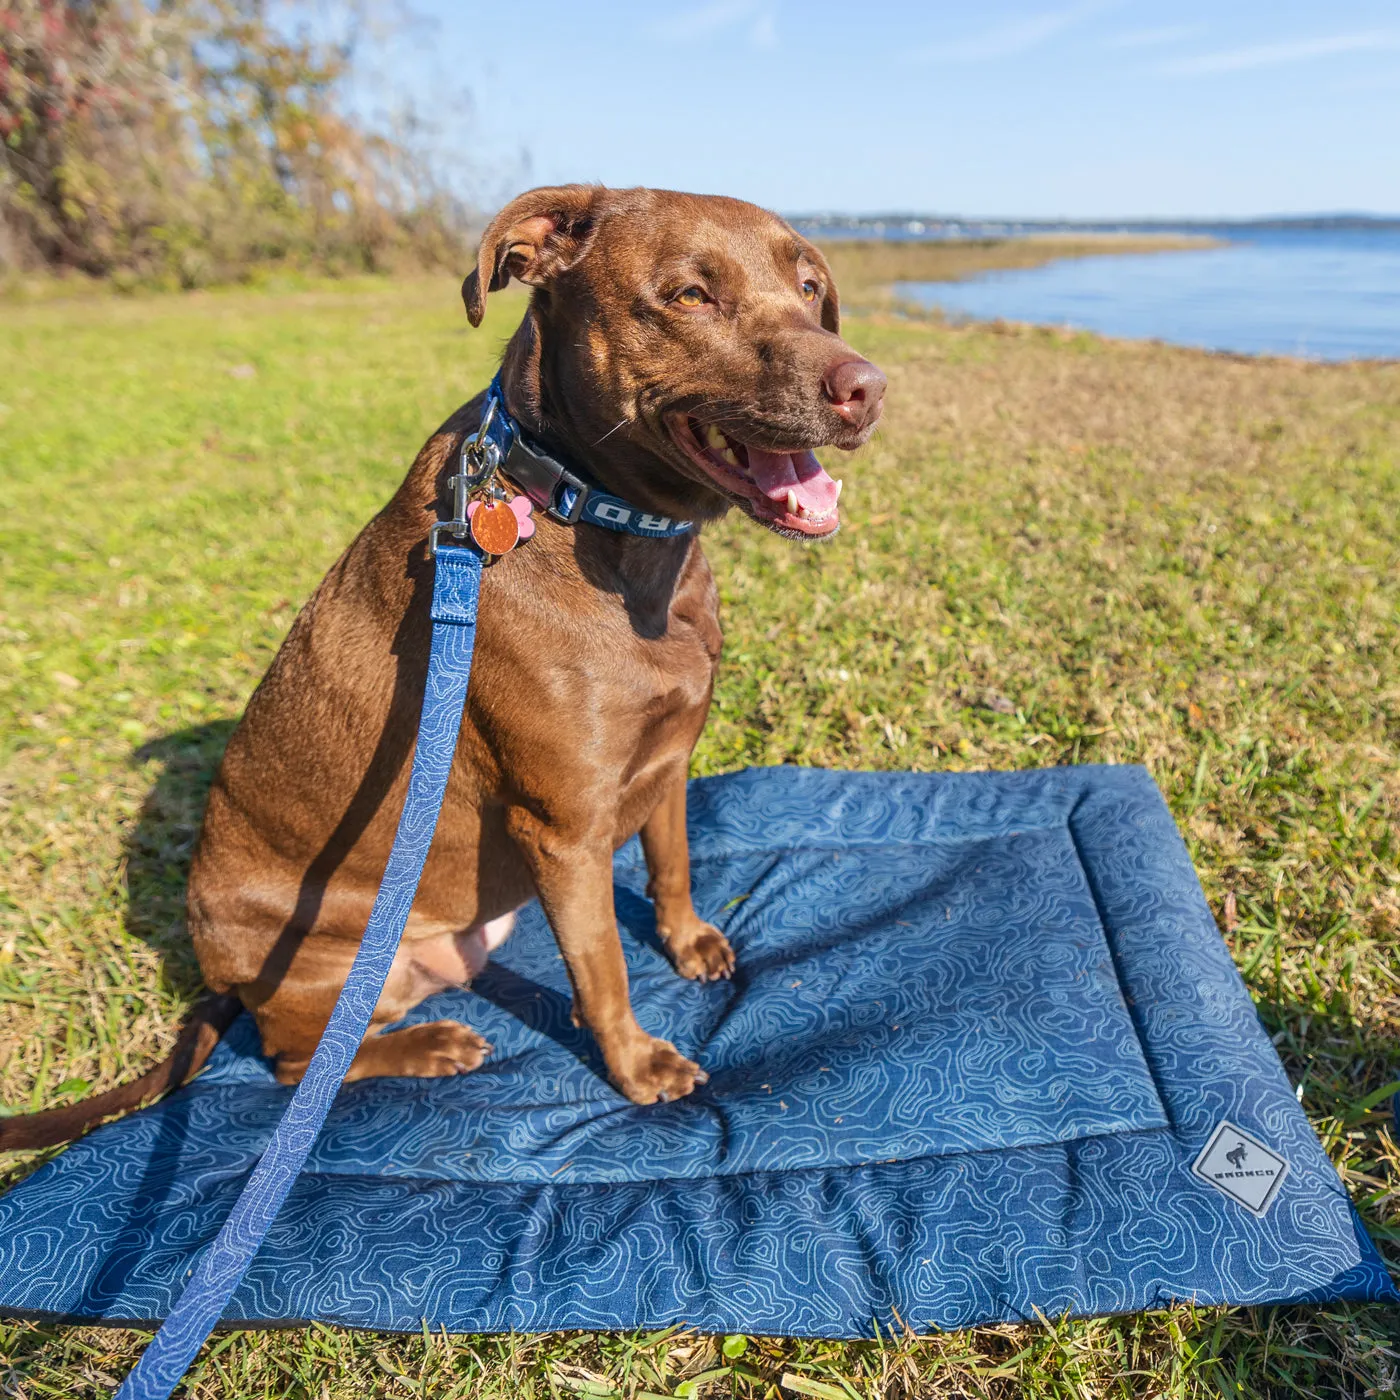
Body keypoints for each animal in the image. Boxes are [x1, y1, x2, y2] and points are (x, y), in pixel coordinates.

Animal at [5, 183, 884, 1148]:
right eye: (690, 296)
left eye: (809, 287)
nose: (868, 389)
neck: (593, 515)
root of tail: (222, 983)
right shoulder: (564, 831)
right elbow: (603, 969)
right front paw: (637, 1064)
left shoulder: (668, 759)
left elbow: (673, 862)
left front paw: (687, 942)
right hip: (331, 969)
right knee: (298, 1065)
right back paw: (429, 1047)